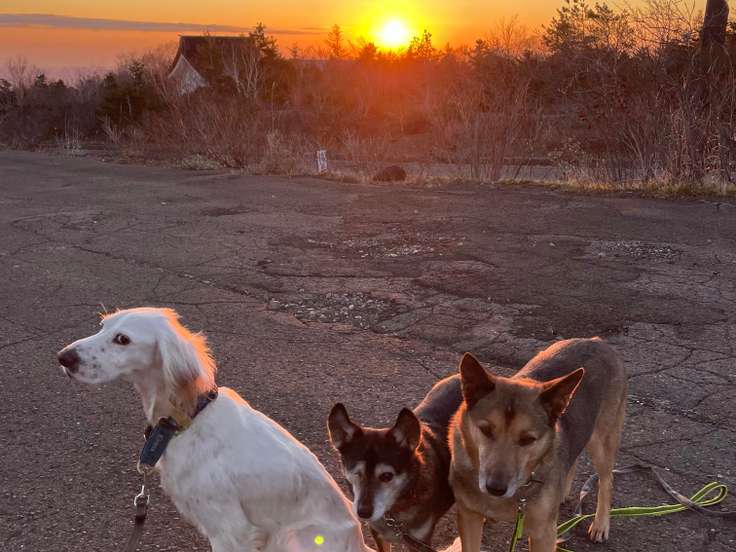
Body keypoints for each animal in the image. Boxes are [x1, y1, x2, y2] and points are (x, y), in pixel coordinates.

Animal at [449, 338, 626, 552]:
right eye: (486, 430)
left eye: (527, 440)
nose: (495, 489)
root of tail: (596, 341)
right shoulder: (469, 517)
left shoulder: (544, 535)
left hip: (602, 441)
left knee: (606, 481)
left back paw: (600, 523)